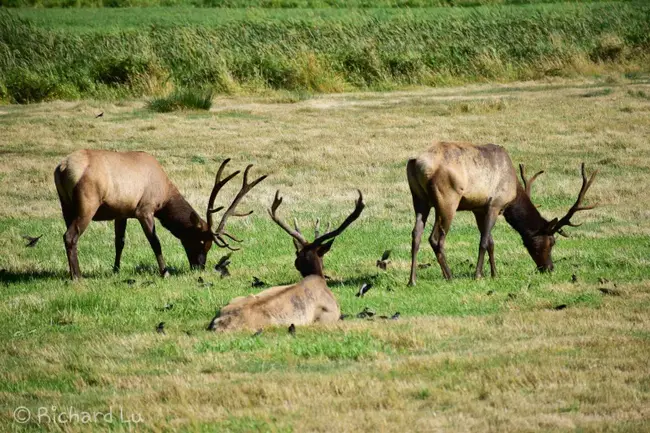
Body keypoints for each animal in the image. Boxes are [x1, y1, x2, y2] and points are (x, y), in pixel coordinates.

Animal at [53, 151, 266, 280]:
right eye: (201, 242)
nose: (199, 266)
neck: (164, 196)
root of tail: (62, 168)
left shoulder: (122, 212)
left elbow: (119, 242)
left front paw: (116, 270)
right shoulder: (144, 209)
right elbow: (155, 242)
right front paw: (165, 272)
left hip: (65, 206)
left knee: (69, 237)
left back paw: (72, 273)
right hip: (87, 204)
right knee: (70, 236)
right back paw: (77, 276)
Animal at [404, 140, 596, 286]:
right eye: (552, 241)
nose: (549, 268)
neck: (513, 192)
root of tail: (417, 163)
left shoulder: (479, 208)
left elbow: (490, 242)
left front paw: (494, 273)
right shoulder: (495, 204)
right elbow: (483, 241)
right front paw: (478, 275)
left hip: (419, 199)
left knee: (416, 234)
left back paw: (412, 280)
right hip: (447, 199)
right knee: (435, 238)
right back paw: (449, 276)